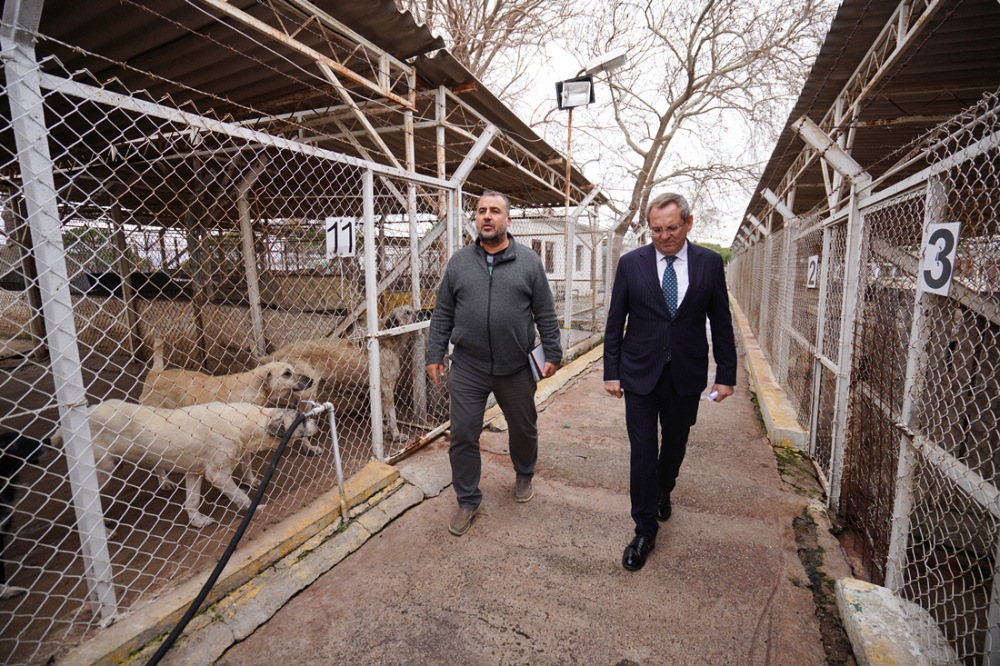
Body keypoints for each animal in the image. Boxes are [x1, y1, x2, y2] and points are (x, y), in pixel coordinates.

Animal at [53, 396, 316, 528]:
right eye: (300, 420)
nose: (317, 422)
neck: (250, 422)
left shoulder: (195, 472)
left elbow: (192, 501)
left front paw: (197, 521)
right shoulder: (217, 474)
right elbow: (241, 496)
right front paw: (257, 509)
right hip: (102, 469)